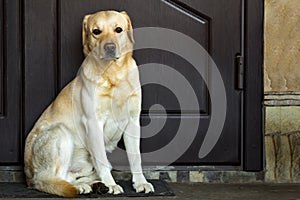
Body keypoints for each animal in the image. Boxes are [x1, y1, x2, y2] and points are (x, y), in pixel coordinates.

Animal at [24, 10, 154, 197]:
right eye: (96, 31)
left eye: (118, 29)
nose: (109, 47)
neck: (113, 74)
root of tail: (28, 179)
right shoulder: (93, 122)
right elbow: (101, 158)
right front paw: (111, 184)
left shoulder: (133, 120)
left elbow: (136, 157)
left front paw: (140, 182)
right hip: (60, 132)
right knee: (52, 178)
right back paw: (86, 187)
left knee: (70, 177)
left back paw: (92, 185)